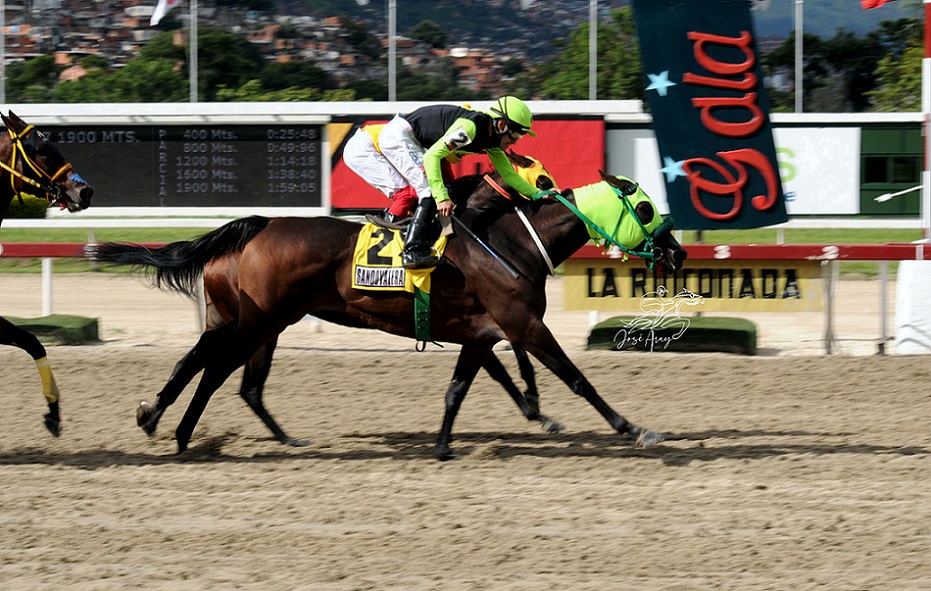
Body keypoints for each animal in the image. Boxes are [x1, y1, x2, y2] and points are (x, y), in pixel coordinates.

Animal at [92, 171, 686, 459]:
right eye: (647, 208)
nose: (678, 252)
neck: (510, 243)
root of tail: (259, 225)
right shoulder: (523, 326)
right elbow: (577, 379)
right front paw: (635, 429)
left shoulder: (481, 334)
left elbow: (459, 388)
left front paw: (445, 445)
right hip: (256, 321)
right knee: (214, 370)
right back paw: (177, 431)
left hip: (259, 322)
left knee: (231, 376)